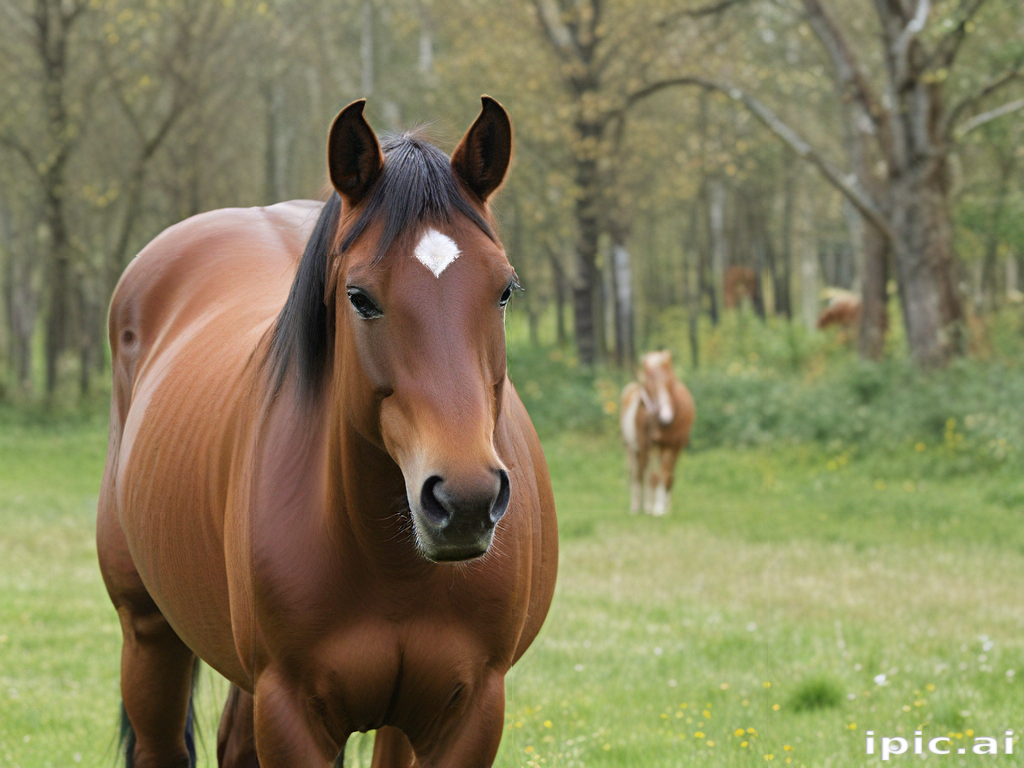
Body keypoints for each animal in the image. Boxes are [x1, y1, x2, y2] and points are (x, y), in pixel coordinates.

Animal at [96, 96, 558, 768]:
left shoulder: (469, 713)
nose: (465, 500)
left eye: (504, 290)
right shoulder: (290, 711)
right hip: (148, 631)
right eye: (359, 296)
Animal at [620, 351, 696, 516]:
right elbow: (651, 475)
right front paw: (654, 507)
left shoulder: (673, 445)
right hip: (633, 448)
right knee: (638, 473)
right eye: (648, 386)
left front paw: (663, 507)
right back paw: (638, 506)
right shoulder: (648, 444)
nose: (665, 416)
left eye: (671, 383)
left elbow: (667, 474)